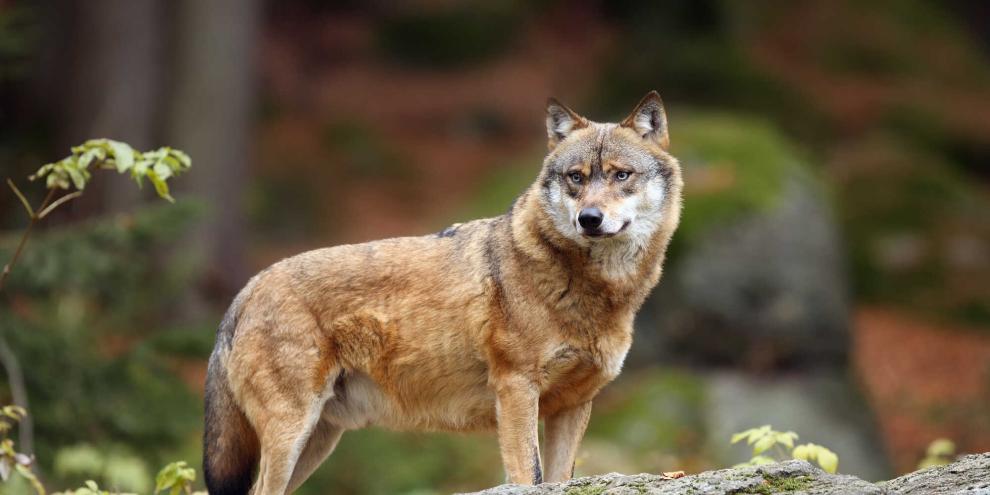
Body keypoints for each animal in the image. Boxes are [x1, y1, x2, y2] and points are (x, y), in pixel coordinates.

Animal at [202, 91, 683, 495]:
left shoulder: (574, 405)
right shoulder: (515, 389)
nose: (589, 218)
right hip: (292, 435)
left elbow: (558, 478)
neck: (594, 290)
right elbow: (528, 475)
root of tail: (248, 287)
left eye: (621, 175)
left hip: (316, 441)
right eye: (576, 178)